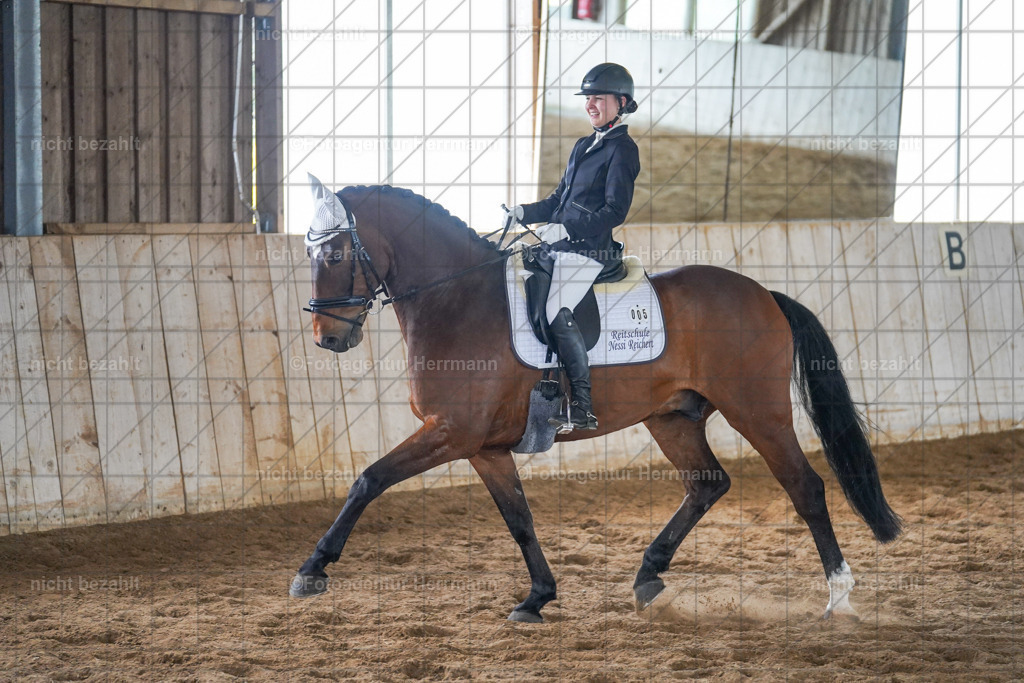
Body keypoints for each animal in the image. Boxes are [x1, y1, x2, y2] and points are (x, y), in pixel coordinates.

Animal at [289, 178, 903, 623]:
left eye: (337, 253)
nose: (328, 338)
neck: (457, 298)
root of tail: (764, 294)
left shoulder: (451, 432)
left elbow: (369, 478)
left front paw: (312, 569)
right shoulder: (484, 448)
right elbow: (519, 520)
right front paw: (537, 597)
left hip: (758, 411)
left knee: (805, 487)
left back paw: (839, 596)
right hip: (672, 417)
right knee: (708, 483)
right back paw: (648, 577)